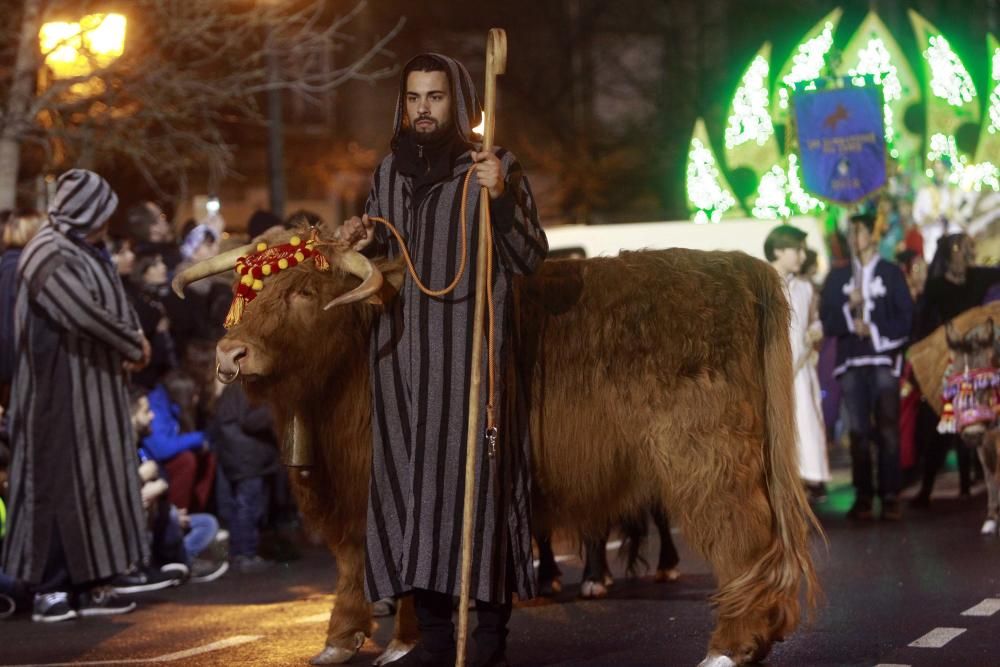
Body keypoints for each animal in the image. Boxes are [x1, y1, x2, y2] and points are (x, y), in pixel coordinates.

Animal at [174, 222, 820, 664]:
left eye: (305, 291)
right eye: (242, 290)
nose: (231, 354)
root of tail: (736, 269)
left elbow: (392, 564)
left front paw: (401, 643)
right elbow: (355, 560)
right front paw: (345, 640)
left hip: (705, 460)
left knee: (741, 537)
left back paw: (730, 645)